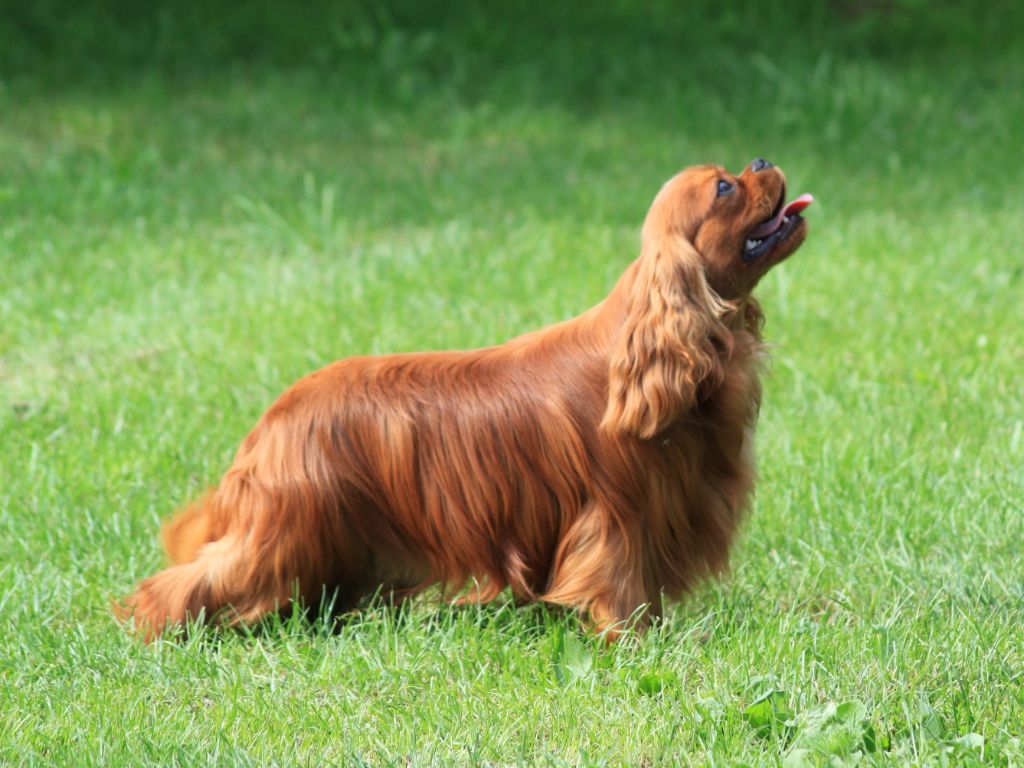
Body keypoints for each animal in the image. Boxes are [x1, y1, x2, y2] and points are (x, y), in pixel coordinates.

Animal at [119, 156, 811, 638]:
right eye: (723, 189)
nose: (760, 160)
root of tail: (272, 418)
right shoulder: (615, 516)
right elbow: (616, 585)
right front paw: (633, 642)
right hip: (281, 528)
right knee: (194, 577)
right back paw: (156, 626)